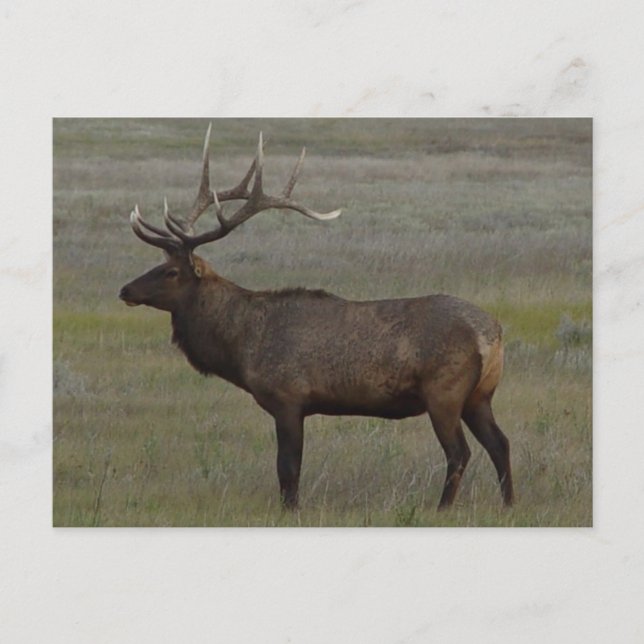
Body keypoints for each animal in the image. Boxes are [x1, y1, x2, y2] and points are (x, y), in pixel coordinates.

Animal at [119, 124, 514, 511]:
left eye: (171, 271)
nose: (125, 290)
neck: (241, 347)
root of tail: (492, 333)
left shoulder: (288, 398)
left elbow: (288, 469)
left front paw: (290, 511)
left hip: (444, 392)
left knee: (459, 452)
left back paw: (442, 508)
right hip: (480, 395)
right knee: (500, 443)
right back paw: (509, 504)